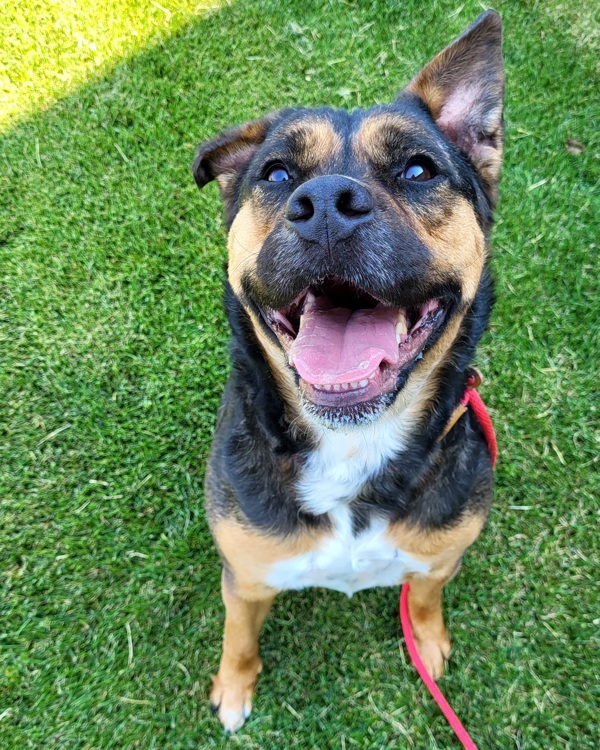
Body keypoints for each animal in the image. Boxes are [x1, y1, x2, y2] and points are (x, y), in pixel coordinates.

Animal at [191, 8, 502, 732]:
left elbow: (424, 597)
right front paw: (234, 687)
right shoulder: (245, 572)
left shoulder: (441, 554)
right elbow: (238, 632)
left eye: (418, 169)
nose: (327, 201)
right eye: (276, 175)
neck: (352, 442)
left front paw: (428, 640)